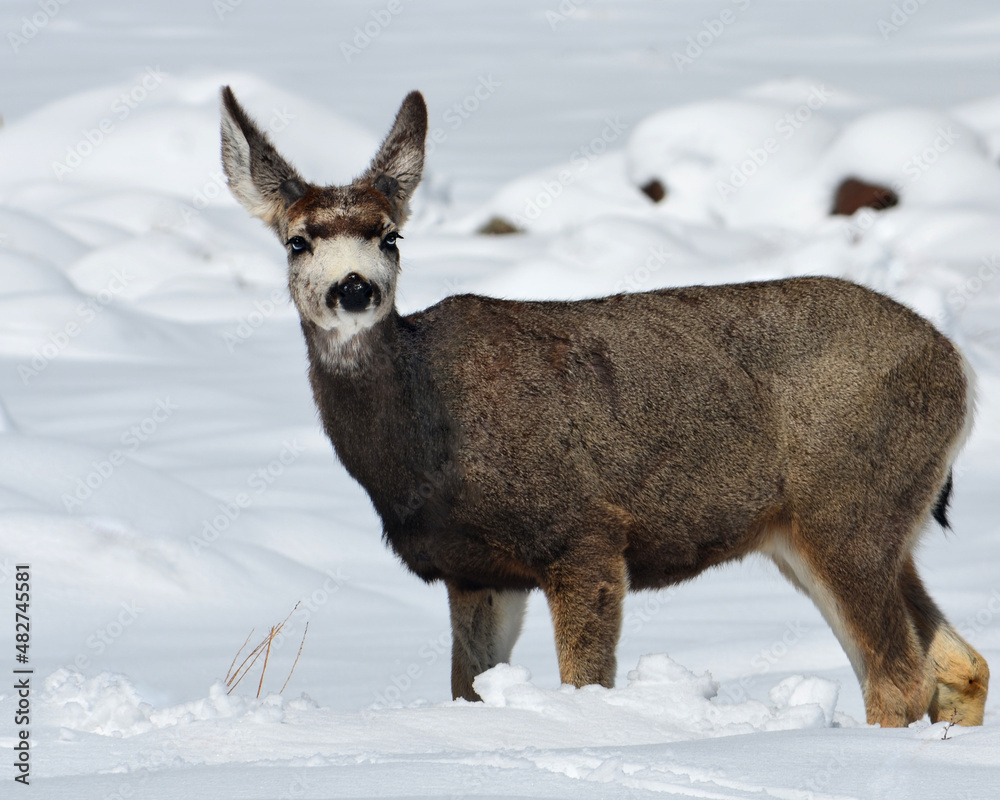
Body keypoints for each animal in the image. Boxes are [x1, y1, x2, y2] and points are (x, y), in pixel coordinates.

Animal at [220, 86, 989, 728]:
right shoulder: (477, 571)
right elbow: (470, 691)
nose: (355, 287)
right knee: (960, 663)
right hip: (826, 530)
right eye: (297, 240)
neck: (426, 446)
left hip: (848, 507)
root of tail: (961, 371)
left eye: (391, 235)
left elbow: (584, 688)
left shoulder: (583, 533)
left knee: (900, 678)